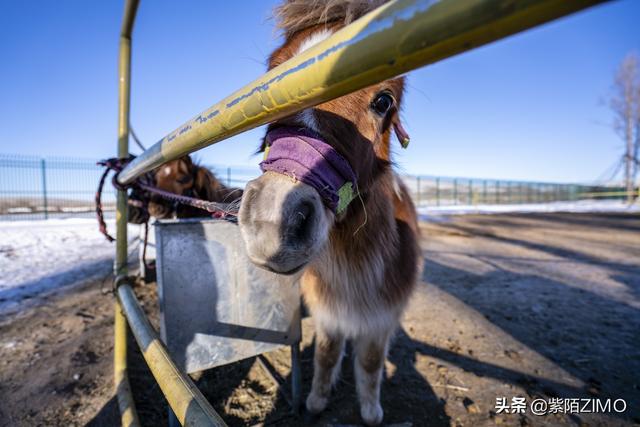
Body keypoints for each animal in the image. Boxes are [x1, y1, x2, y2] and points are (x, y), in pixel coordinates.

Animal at [238, 1, 422, 426]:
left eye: (384, 100)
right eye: (269, 87)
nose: (271, 220)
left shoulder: (381, 317)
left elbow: (369, 363)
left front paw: (370, 410)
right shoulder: (328, 312)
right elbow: (325, 355)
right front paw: (317, 401)